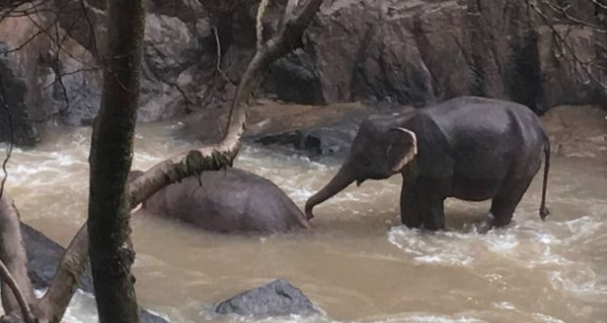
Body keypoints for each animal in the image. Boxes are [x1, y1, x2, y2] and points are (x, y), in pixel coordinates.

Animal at [304, 95, 552, 232]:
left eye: (363, 158)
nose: (310, 215)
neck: (400, 119)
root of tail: (541, 128)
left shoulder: (435, 156)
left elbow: (431, 201)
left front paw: (435, 231)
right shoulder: (415, 166)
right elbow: (407, 197)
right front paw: (410, 227)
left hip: (524, 161)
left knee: (506, 201)